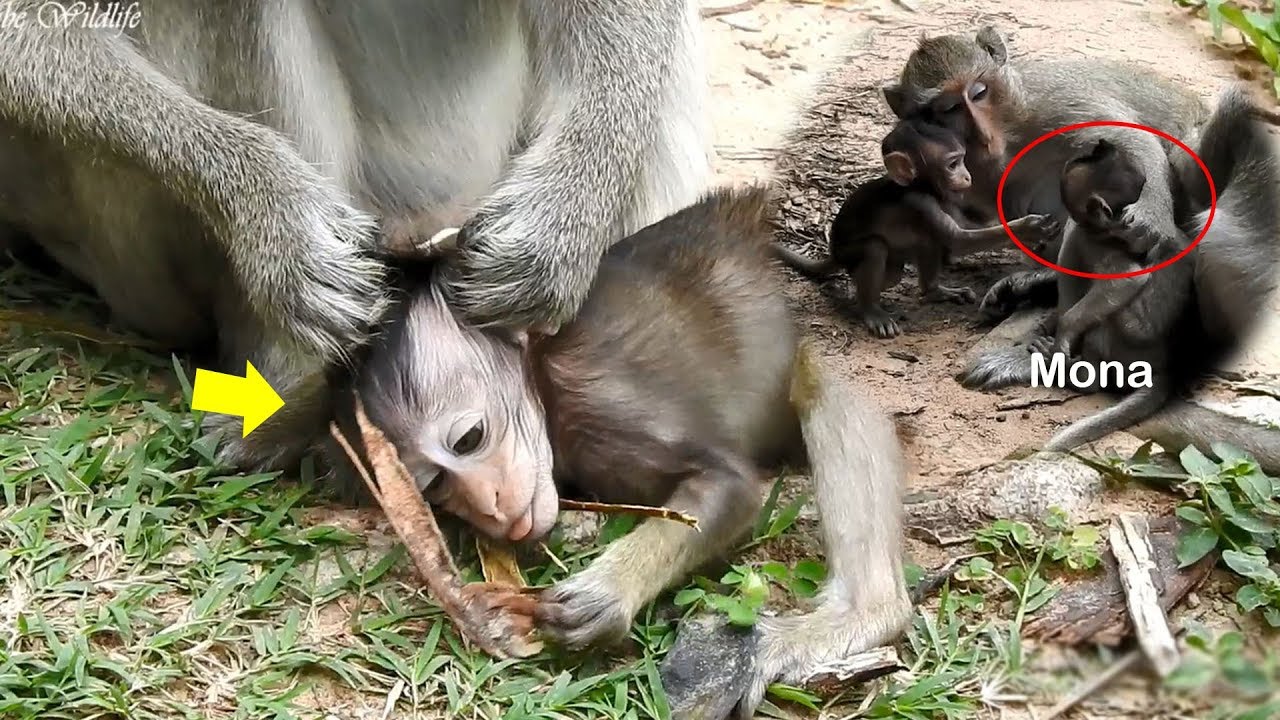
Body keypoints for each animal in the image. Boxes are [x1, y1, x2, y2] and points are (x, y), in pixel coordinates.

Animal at [341, 186, 913, 719]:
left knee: (827, 383)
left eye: (469, 440)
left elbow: (731, 486)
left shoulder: (600, 401)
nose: (489, 505)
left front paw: (608, 592)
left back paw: (861, 613)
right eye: (436, 486)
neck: (541, 378)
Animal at [774, 116, 1059, 337]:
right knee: (875, 248)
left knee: (921, 246)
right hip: (851, 253)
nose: (966, 176)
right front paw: (1028, 227)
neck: (923, 187)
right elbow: (958, 239)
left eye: (962, 160)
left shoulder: (946, 199)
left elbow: (958, 229)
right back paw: (871, 309)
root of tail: (834, 251)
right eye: (952, 164)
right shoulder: (921, 202)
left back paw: (934, 292)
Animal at [881, 25, 1211, 324]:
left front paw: (1149, 214)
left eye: (979, 93)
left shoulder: (1051, 100)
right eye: (949, 109)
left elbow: (1125, 136)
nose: (982, 136)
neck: (1009, 135)